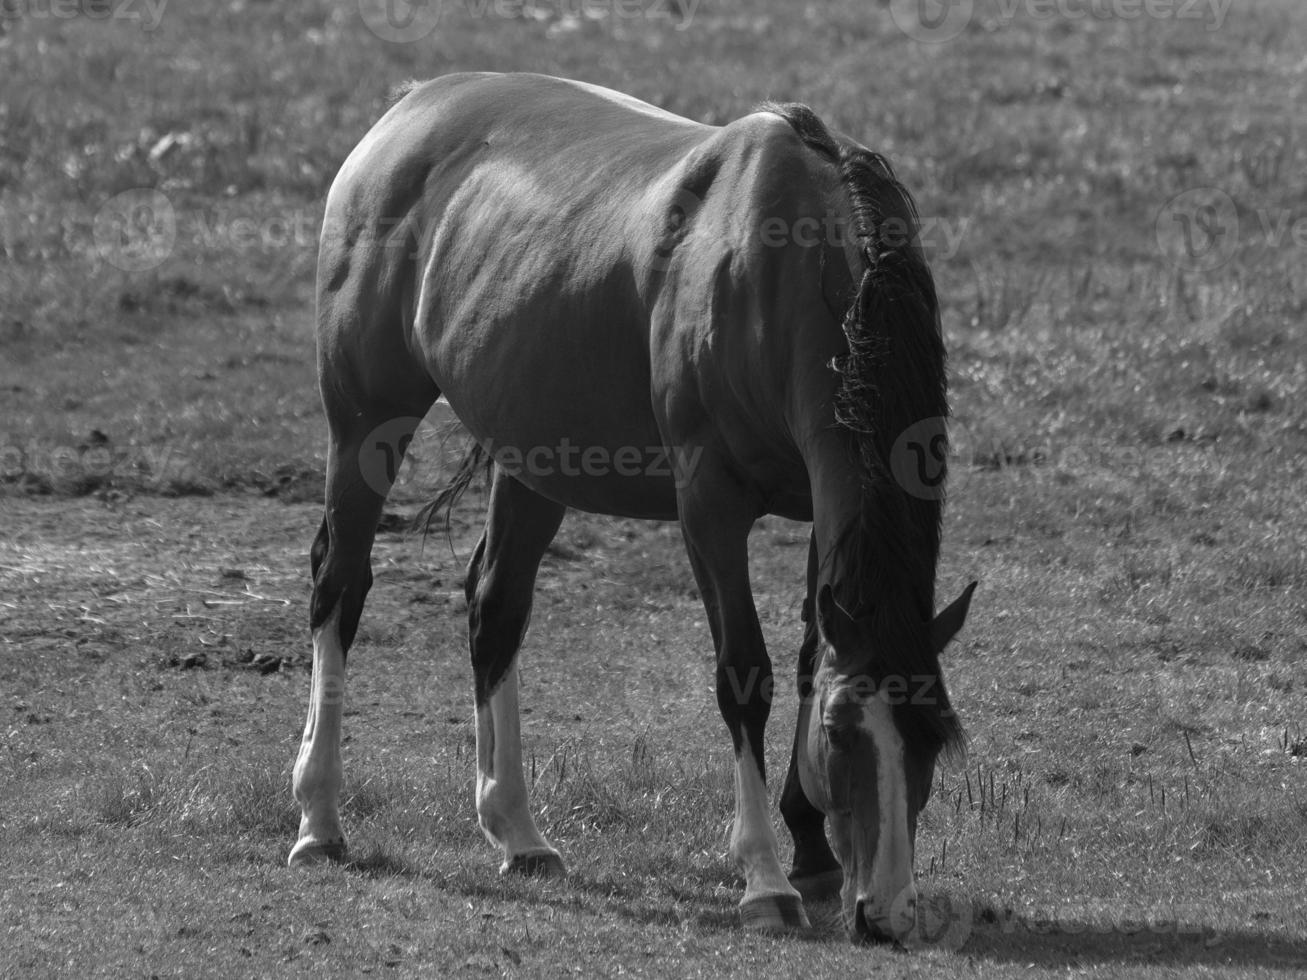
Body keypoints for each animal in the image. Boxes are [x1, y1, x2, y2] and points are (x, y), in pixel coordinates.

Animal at [291, 72, 977, 946]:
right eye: (839, 734)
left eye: (932, 741)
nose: (885, 914)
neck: (789, 272)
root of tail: (407, 109)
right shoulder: (709, 505)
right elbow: (743, 673)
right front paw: (764, 880)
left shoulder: (822, 517)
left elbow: (805, 657)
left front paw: (810, 849)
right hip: (365, 422)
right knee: (339, 586)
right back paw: (319, 820)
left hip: (533, 450)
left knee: (495, 607)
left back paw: (517, 831)